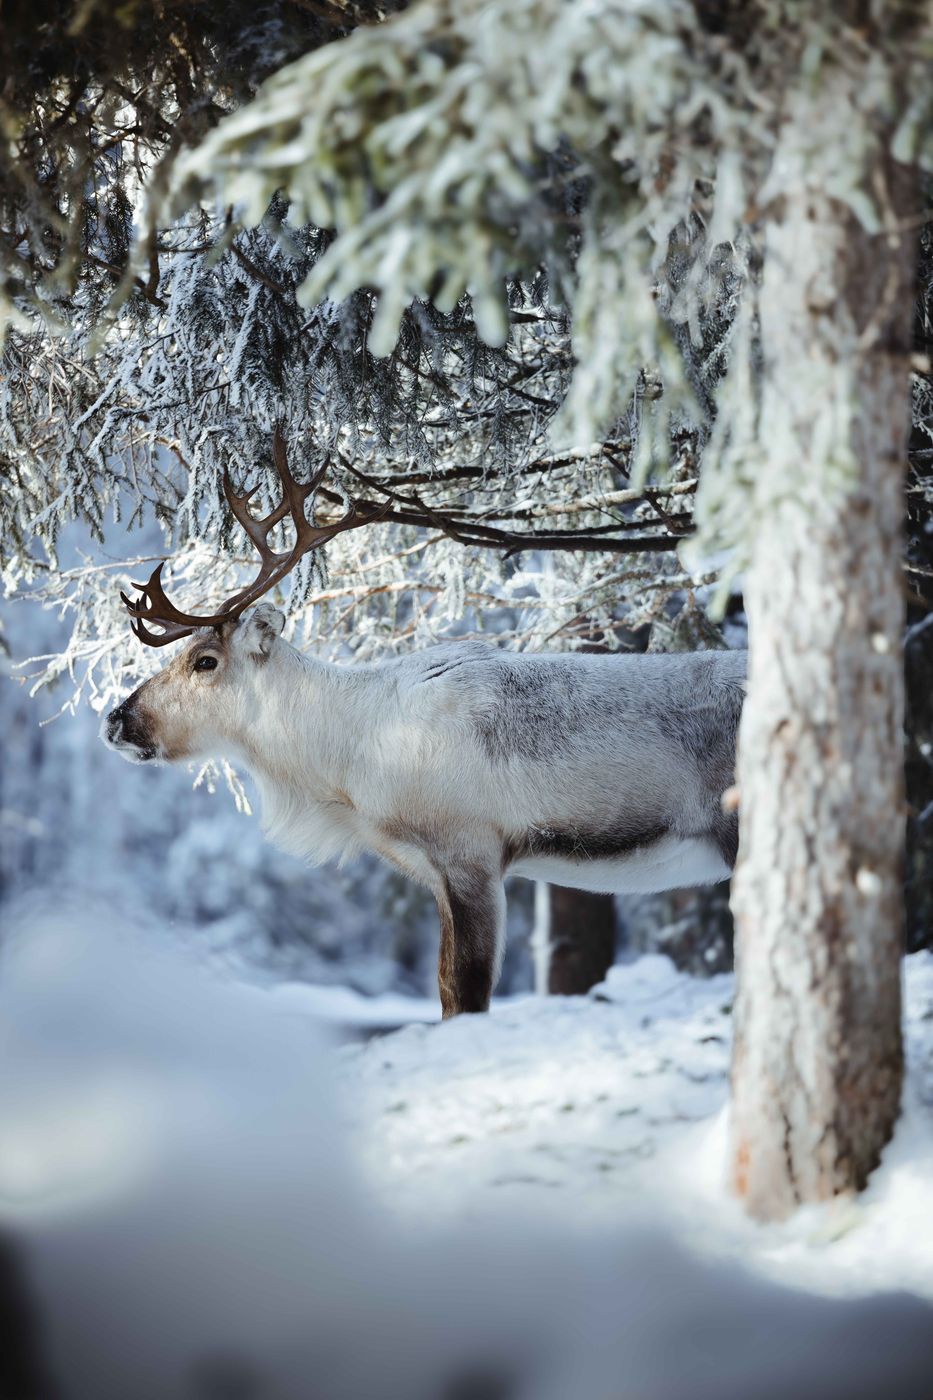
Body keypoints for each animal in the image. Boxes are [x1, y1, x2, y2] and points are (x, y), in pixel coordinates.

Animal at [103, 430, 746, 1016]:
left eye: (204, 660)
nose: (116, 719)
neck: (346, 764)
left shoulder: (471, 851)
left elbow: (467, 993)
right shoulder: (431, 868)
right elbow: (442, 990)